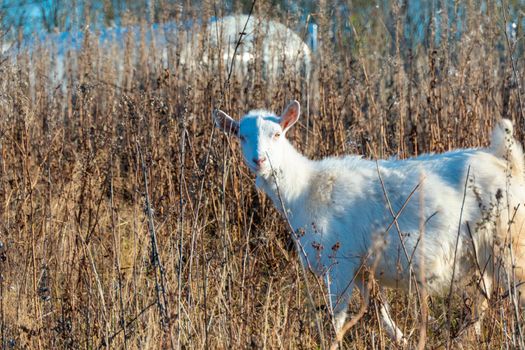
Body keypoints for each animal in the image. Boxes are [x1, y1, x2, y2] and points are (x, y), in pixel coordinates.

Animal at [213, 100, 524, 344]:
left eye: (277, 134)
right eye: (241, 136)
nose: (259, 160)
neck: (305, 188)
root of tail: (507, 162)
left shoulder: (340, 264)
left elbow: (336, 317)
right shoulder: (363, 268)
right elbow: (378, 310)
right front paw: (402, 339)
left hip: (509, 244)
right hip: (482, 253)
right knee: (482, 299)